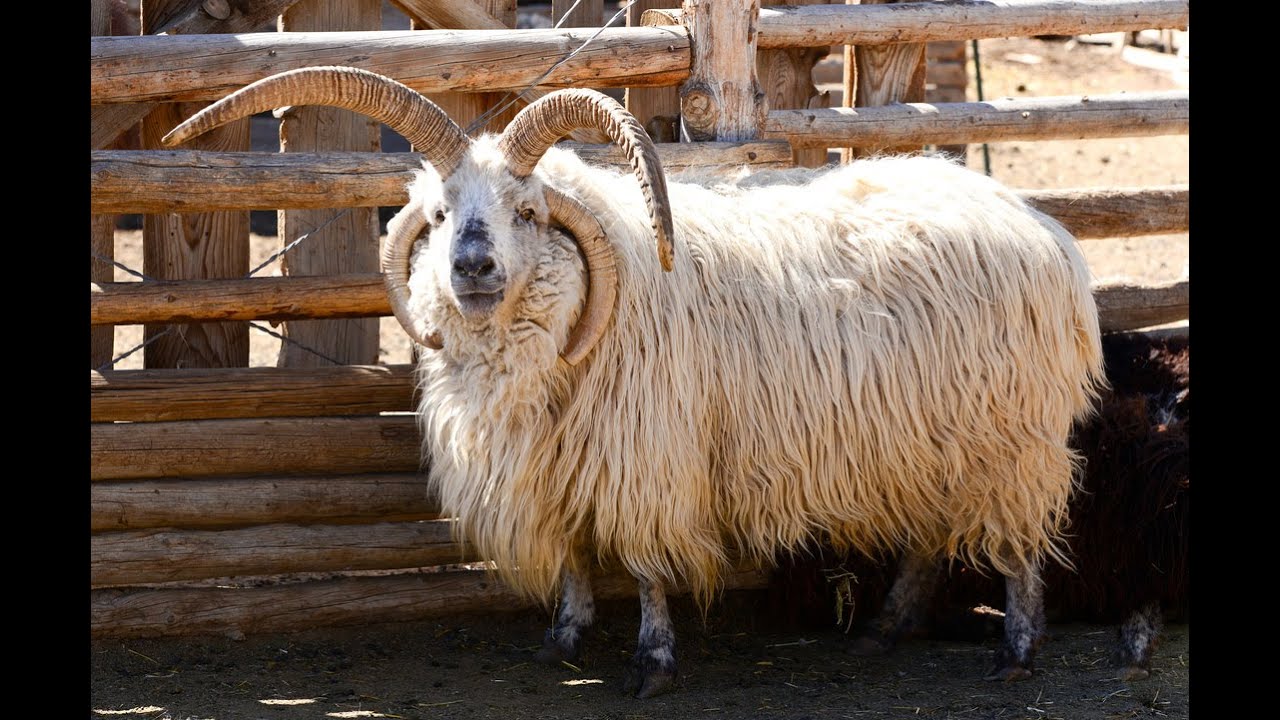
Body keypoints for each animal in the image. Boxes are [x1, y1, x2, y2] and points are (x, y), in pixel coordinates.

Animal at [164, 66, 1106, 698]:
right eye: (438, 214)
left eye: (528, 212)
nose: (470, 266)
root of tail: (1041, 227)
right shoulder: (551, 466)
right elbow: (574, 559)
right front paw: (565, 637)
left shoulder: (643, 456)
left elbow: (648, 567)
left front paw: (652, 662)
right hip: (929, 436)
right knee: (930, 536)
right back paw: (885, 630)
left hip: (1011, 436)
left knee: (1021, 544)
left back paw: (1017, 652)